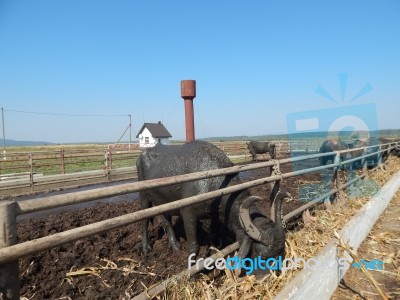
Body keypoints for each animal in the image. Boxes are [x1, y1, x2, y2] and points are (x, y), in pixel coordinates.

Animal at [136, 141, 290, 260]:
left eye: (281, 253)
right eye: (261, 254)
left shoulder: (213, 218)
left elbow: (214, 236)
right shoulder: (187, 213)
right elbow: (194, 247)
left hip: (163, 201)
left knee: (166, 219)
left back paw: (174, 244)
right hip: (144, 198)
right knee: (144, 221)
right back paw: (146, 247)